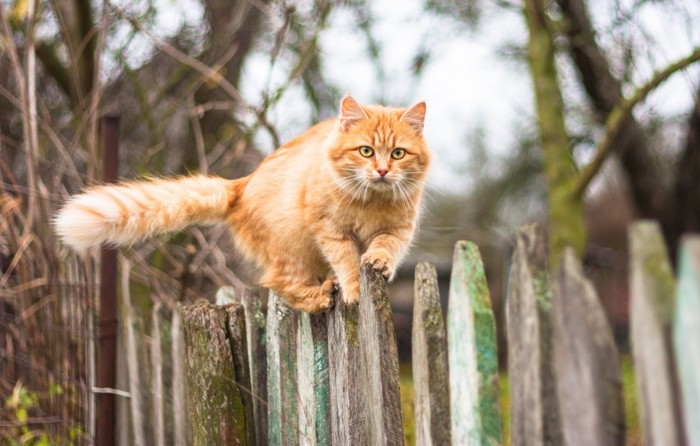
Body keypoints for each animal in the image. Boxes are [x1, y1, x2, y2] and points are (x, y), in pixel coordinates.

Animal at [57, 96, 432, 314]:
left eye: (398, 153)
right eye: (366, 151)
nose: (382, 171)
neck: (372, 201)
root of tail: (241, 185)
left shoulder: (398, 230)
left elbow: (383, 248)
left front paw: (379, 262)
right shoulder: (330, 229)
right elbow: (348, 263)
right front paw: (354, 290)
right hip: (290, 249)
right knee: (280, 284)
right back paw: (321, 296)